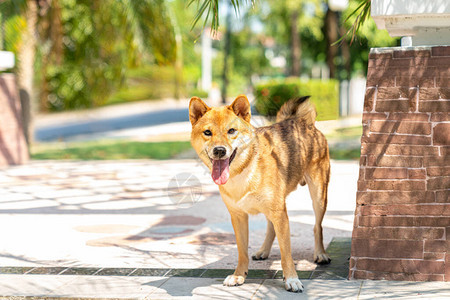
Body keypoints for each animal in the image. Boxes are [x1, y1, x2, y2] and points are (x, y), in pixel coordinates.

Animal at [188, 95, 332, 292]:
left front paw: (292, 279)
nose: (219, 150)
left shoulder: (280, 214)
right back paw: (263, 251)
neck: (243, 172)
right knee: (271, 227)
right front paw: (239, 275)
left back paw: (320, 253)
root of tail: (303, 122)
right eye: (207, 132)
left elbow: (286, 253)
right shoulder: (238, 216)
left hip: (318, 196)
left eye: (231, 131)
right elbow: (242, 251)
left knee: (318, 226)